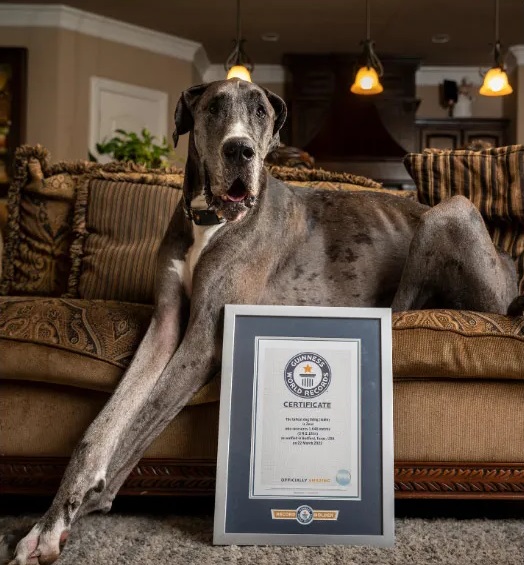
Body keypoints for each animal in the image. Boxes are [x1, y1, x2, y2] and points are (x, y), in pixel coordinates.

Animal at [6, 78, 520, 564]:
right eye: (213, 107)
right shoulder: (165, 325)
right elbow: (102, 428)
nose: (240, 150)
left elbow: (142, 420)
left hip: (450, 208)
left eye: (260, 111)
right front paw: (51, 519)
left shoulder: (204, 339)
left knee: (406, 303)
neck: (210, 220)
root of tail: (509, 265)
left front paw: (84, 506)